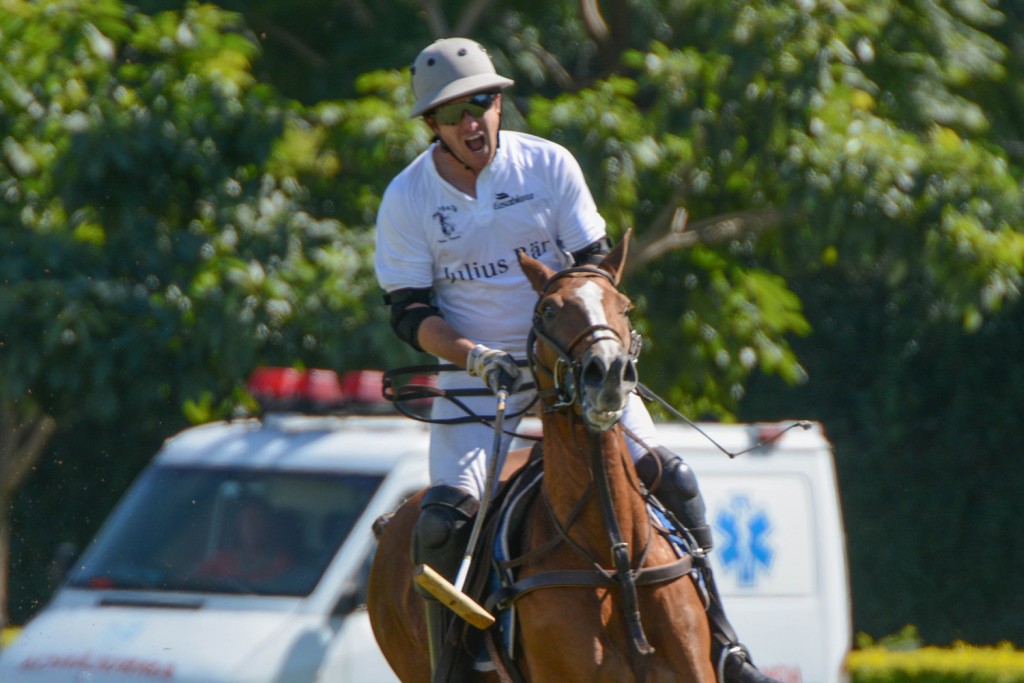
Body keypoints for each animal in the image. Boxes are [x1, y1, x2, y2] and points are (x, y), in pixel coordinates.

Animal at [366, 236, 712, 683]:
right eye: (549, 309)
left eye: (625, 306)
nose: (609, 372)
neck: (616, 560)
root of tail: (388, 525)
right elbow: (411, 306)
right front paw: (491, 363)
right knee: (440, 522)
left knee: (673, 474)